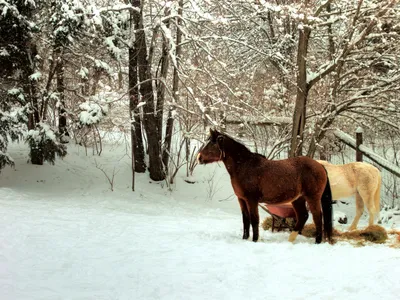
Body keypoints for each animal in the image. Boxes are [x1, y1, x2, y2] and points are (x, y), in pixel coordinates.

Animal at [198, 129, 332, 244]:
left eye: (211, 143)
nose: (199, 157)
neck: (244, 166)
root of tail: (320, 165)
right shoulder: (241, 199)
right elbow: (245, 219)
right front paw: (245, 238)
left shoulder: (252, 200)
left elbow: (254, 219)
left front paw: (254, 240)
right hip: (298, 199)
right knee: (303, 216)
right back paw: (290, 239)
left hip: (312, 198)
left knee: (317, 217)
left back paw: (317, 241)